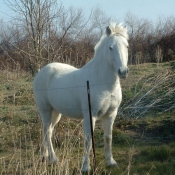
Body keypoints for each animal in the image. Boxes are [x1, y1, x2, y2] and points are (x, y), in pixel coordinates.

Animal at [33, 22, 129, 172]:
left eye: (127, 46)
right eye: (110, 47)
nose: (123, 71)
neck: (102, 82)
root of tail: (41, 72)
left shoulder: (111, 114)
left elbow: (108, 137)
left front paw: (111, 162)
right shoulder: (90, 115)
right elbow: (88, 140)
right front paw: (85, 167)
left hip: (55, 113)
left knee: (47, 130)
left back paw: (44, 156)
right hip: (46, 110)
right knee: (48, 132)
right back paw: (53, 159)